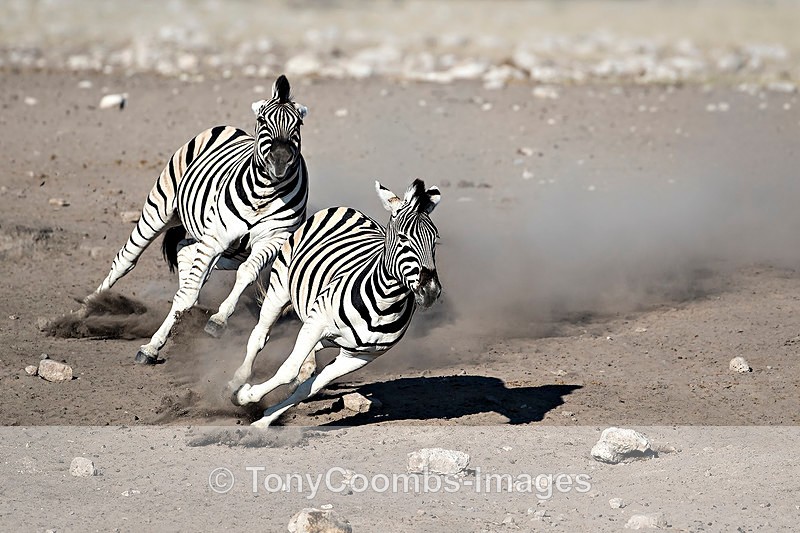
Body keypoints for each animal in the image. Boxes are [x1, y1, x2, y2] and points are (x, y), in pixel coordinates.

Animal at [88, 75, 309, 365]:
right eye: (262, 120)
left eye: (298, 124)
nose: (280, 160)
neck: (265, 191)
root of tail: (228, 128)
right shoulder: (217, 237)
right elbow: (187, 293)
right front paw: (151, 346)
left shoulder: (272, 240)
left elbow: (246, 273)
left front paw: (218, 319)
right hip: (161, 211)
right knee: (126, 260)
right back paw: (89, 308)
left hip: (228, 250)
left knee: (185, 250)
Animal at [230, 178, 442, 427]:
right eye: (402, 238)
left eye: (435, 240)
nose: (430, 291)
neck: (384, 303)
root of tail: (347, 209)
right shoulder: (317, 324)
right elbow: (288, 371)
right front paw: (245, 396)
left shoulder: (359, 357)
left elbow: (309, 388)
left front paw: (265, 420)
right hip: (280, 290)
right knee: (259, 337)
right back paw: (236, 383)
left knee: (310, 359)